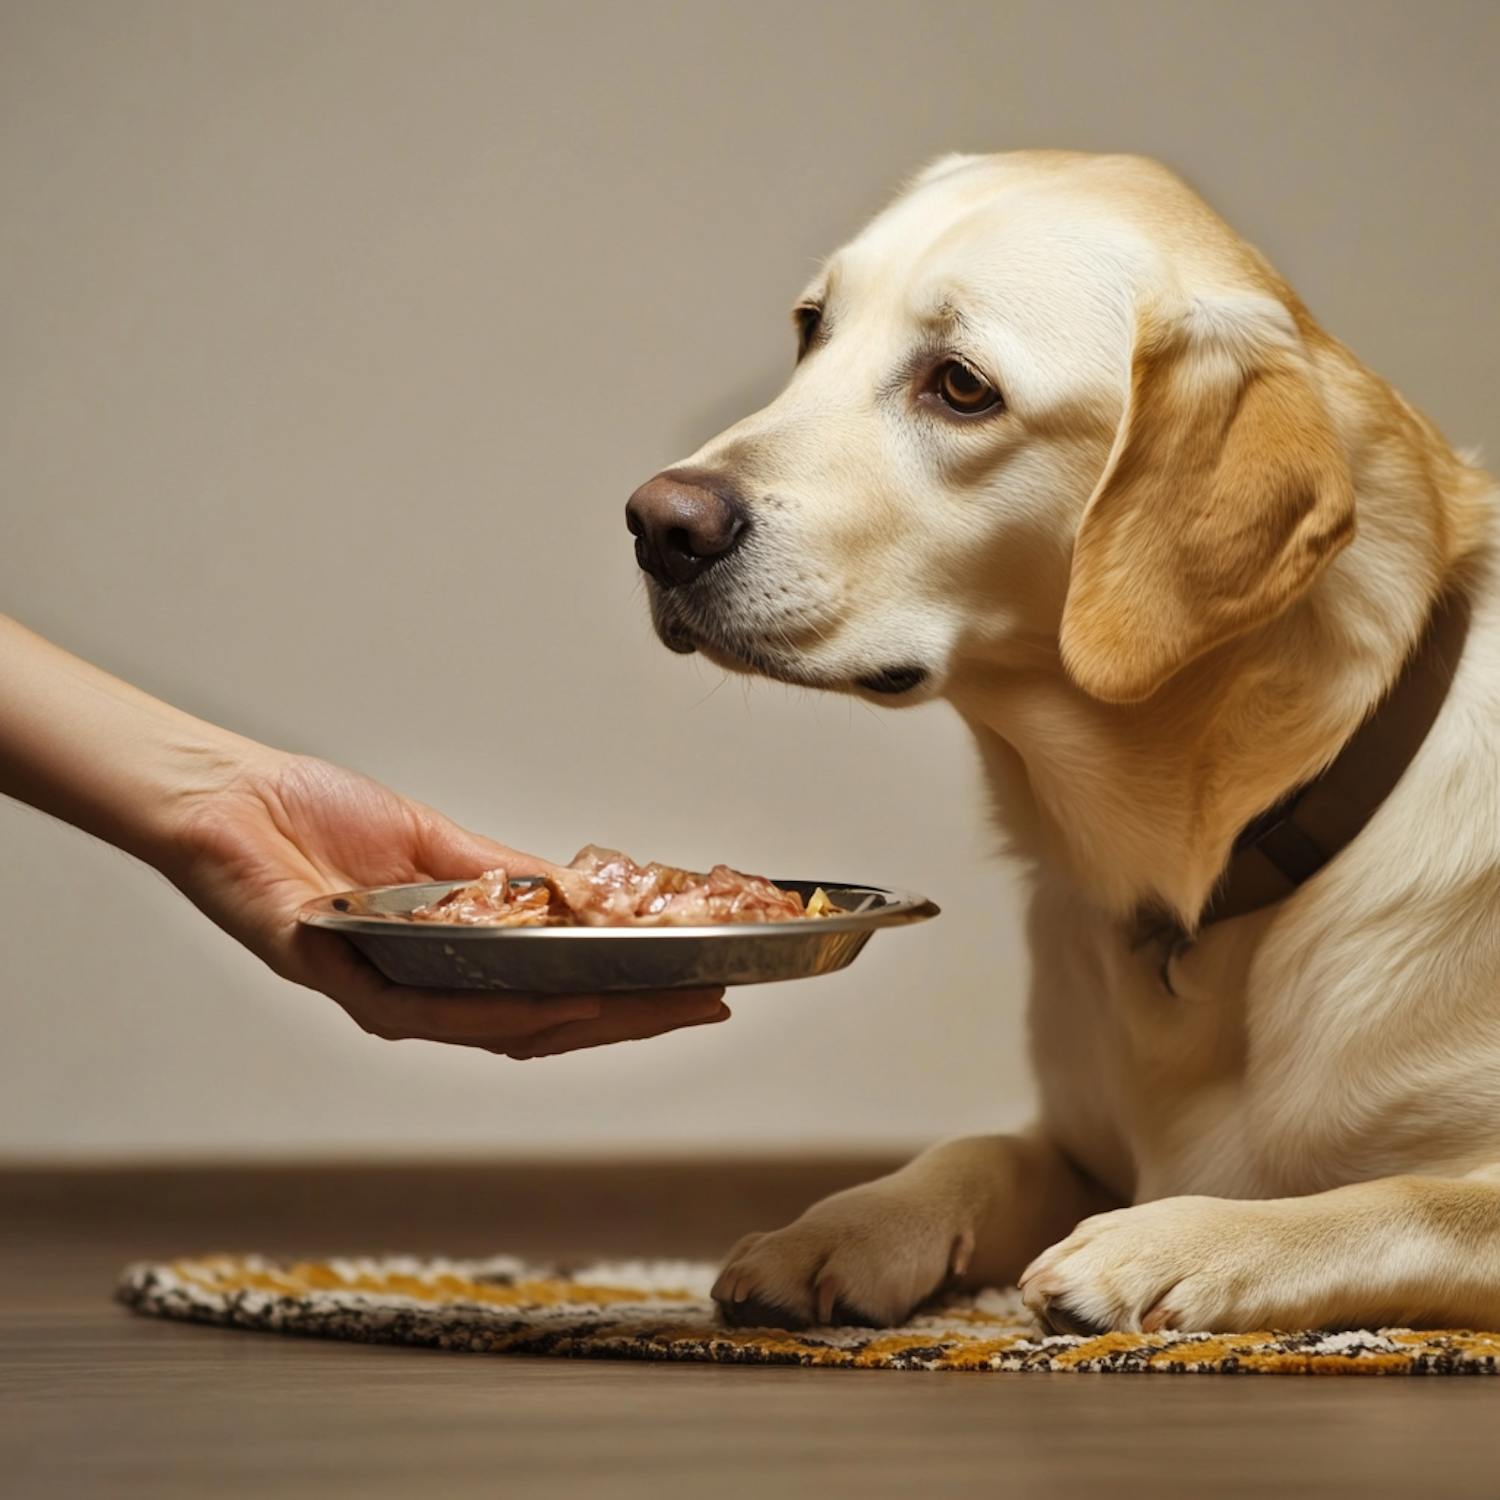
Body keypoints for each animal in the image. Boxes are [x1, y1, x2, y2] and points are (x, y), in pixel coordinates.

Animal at [624, 155, 1500, 1338]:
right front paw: (838, 1229)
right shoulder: (1077, 1143)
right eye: (813, 327)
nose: (656, 526)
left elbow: (1406, 1199)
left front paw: (1171, 1241)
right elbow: (980, 1150)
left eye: (960, 386)